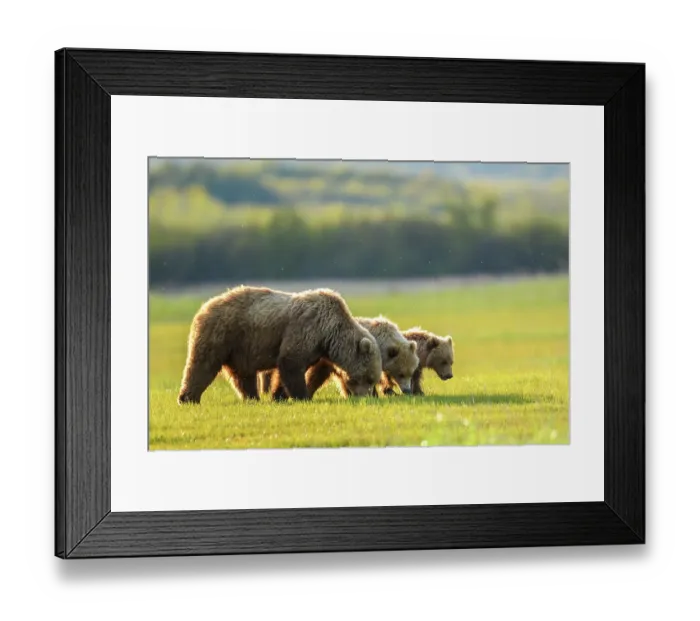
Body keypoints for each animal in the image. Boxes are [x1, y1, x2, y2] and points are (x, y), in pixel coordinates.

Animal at [177, 286, 383, 404]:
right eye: (369, 378)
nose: (367, 396)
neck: (329, 334)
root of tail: (204, 306)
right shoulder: (305, 327)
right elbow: (290, 362)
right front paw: (302, 396)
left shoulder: (314, 347)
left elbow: (288, 370)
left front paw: (279, 396)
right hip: (222, 334)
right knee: (202, 365)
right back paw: (188, 398)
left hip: (239, 348)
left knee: (243, 376)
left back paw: (252, 397)